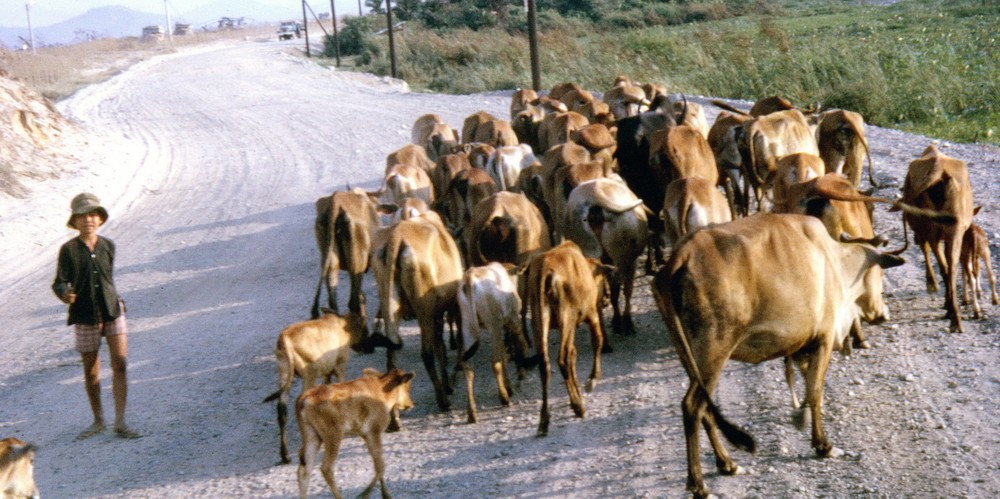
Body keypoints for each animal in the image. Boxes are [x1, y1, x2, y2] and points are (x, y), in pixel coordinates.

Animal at [262, 308, 368, 464]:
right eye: (362, 328)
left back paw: (285, 455)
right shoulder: (340, 366)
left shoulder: (327, 371)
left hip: (284, 374)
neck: (342, 324)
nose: (365, 347)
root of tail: (284, 338)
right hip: (309, 375)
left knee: (282, 411)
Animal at [294, 368, 412, 499]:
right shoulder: (374, 432)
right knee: (326, 468)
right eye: (407, 387)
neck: (382, 390)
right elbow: (381, 466)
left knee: (304, 470)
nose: (410, 404)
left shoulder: (365, 435)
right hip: (333, 437)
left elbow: (378, 464)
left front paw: (385, 495)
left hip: (313, 437)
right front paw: (364, 494)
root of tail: (304, 398)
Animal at [528, 240, 612, 436]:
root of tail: (546, 270)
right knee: (562, 359)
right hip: (566, 318)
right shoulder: (591, 315)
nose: (606, 298)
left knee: (545, 364)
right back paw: (578, 406)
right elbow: (597, 341)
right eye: (604, 278)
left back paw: (544, 420)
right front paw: (591, 380)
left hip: (539, 320)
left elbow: (573, 353)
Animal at [652, 213, 912, 498]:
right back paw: (699, 484)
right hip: (713, 352)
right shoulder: (823, 339)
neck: (835, 261)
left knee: (705, 409)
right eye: (879, 273)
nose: (882, 313)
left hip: (690, 357)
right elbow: (815, 391)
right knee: (692, 406)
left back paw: (727, 463)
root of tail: (680, 258)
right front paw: (823, 445)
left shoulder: (801, 348)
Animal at [896, 143, 972, 334]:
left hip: (935, 230)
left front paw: (932, 284)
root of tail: (939, 172)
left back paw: (952, 313)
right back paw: (954, 317)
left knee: (944, 264)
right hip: (952, 230)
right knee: (950, 267)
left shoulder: (922, 230)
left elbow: (926, 250)